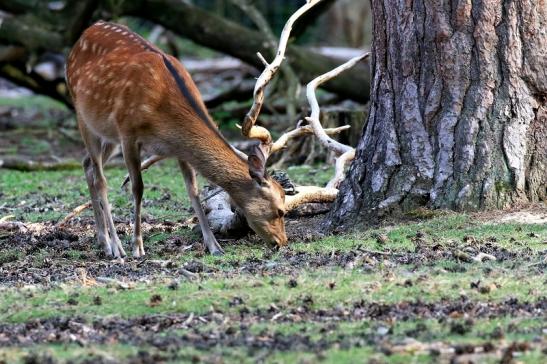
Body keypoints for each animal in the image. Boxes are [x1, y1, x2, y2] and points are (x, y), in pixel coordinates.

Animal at [66, 20, 288, 258]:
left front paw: (214, 246)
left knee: (87, 164)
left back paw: (102, 240)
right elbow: (137, 188)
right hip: (84, 116)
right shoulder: (128, 134)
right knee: (101, 179)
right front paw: (137, 247)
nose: (282, 242)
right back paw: (115, 247)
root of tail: (85, 32)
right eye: (279, 211)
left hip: (108, 136)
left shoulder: (179, 149)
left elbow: (193, 190)